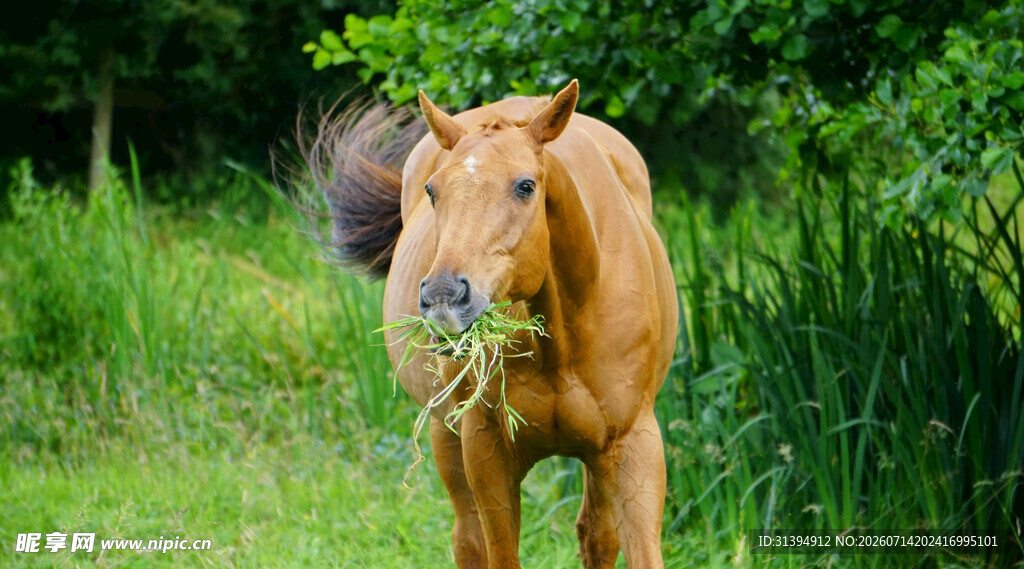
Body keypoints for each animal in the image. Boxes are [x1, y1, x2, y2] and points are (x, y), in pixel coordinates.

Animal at [304, 80, 678, 568]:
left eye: (525, 186)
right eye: (433, 190)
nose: (443, 296)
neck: (563, 339)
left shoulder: (633, 446)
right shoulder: (486, 451)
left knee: (596, 535)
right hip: (445, 435)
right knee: (468, 539)